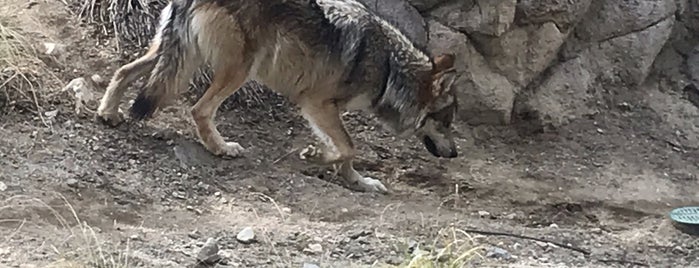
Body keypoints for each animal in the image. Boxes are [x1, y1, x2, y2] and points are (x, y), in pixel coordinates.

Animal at [95, 0, 462, 193]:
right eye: (446, 121)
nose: (456, 154)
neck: (389, 68)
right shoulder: (316, 104)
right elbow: (348, 148)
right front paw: (315, 155)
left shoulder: (326, 109)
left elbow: (347, 155)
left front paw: (360, 182)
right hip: (238, 71)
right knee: (199, 109)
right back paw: (221, 148)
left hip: (176, 56)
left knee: (124, 71)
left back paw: (108, 113)